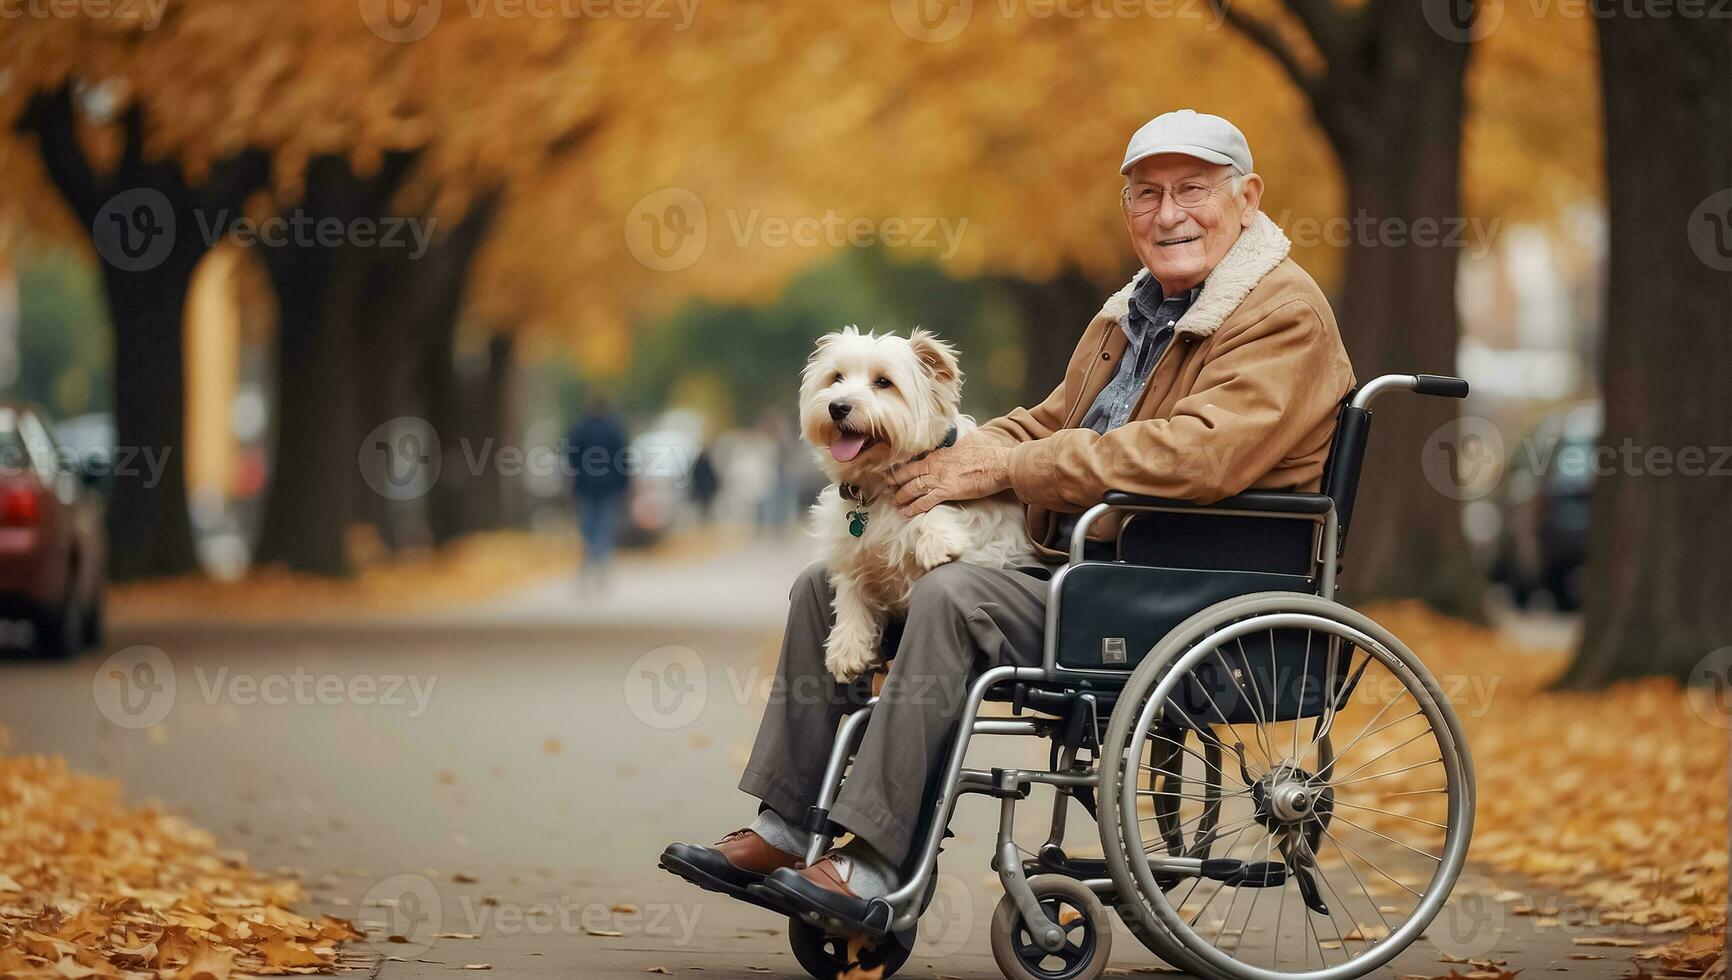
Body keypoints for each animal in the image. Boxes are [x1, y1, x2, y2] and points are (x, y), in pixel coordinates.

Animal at [800, 330, 1032, 682]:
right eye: (836, 377)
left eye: (883, 382)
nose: (837, 407)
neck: (877, 485)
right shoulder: (850, 554)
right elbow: (850, 588)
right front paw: (847, 648)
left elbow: (932, 506)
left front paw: (938, 541)